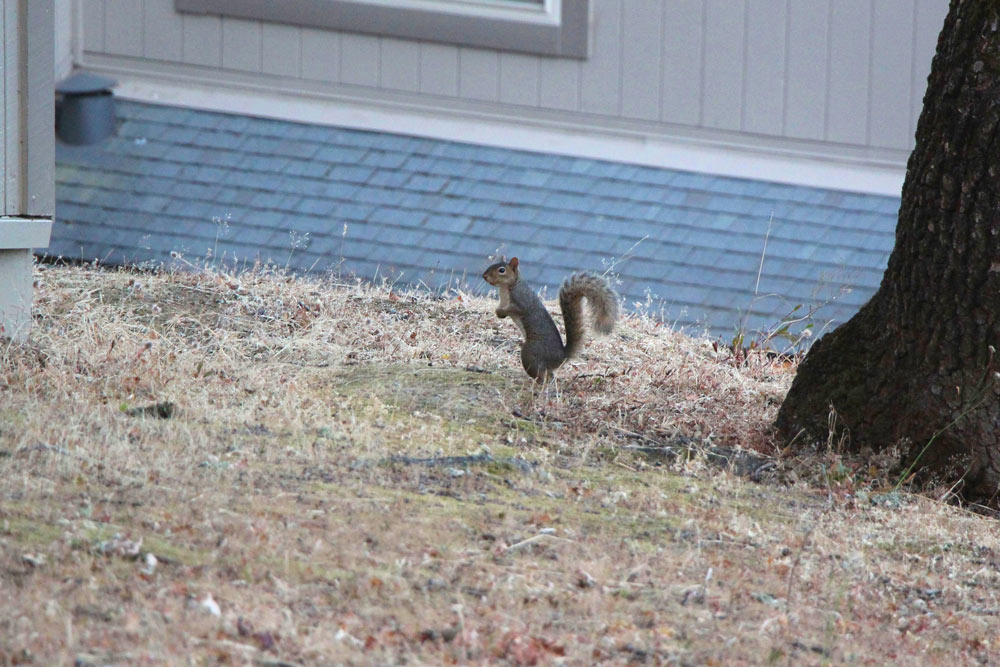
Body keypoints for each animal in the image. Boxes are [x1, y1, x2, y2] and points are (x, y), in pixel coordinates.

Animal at [482, 256, 616, 380]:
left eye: (502, 270)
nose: (484, 276)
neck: (506, 287)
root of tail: (561, 357)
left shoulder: (521, 302)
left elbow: (514, 309)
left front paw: (501, 312)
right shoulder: (503, 301)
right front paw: (498, 312)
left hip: (530, 352)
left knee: (541, 376)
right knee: (549, 375)